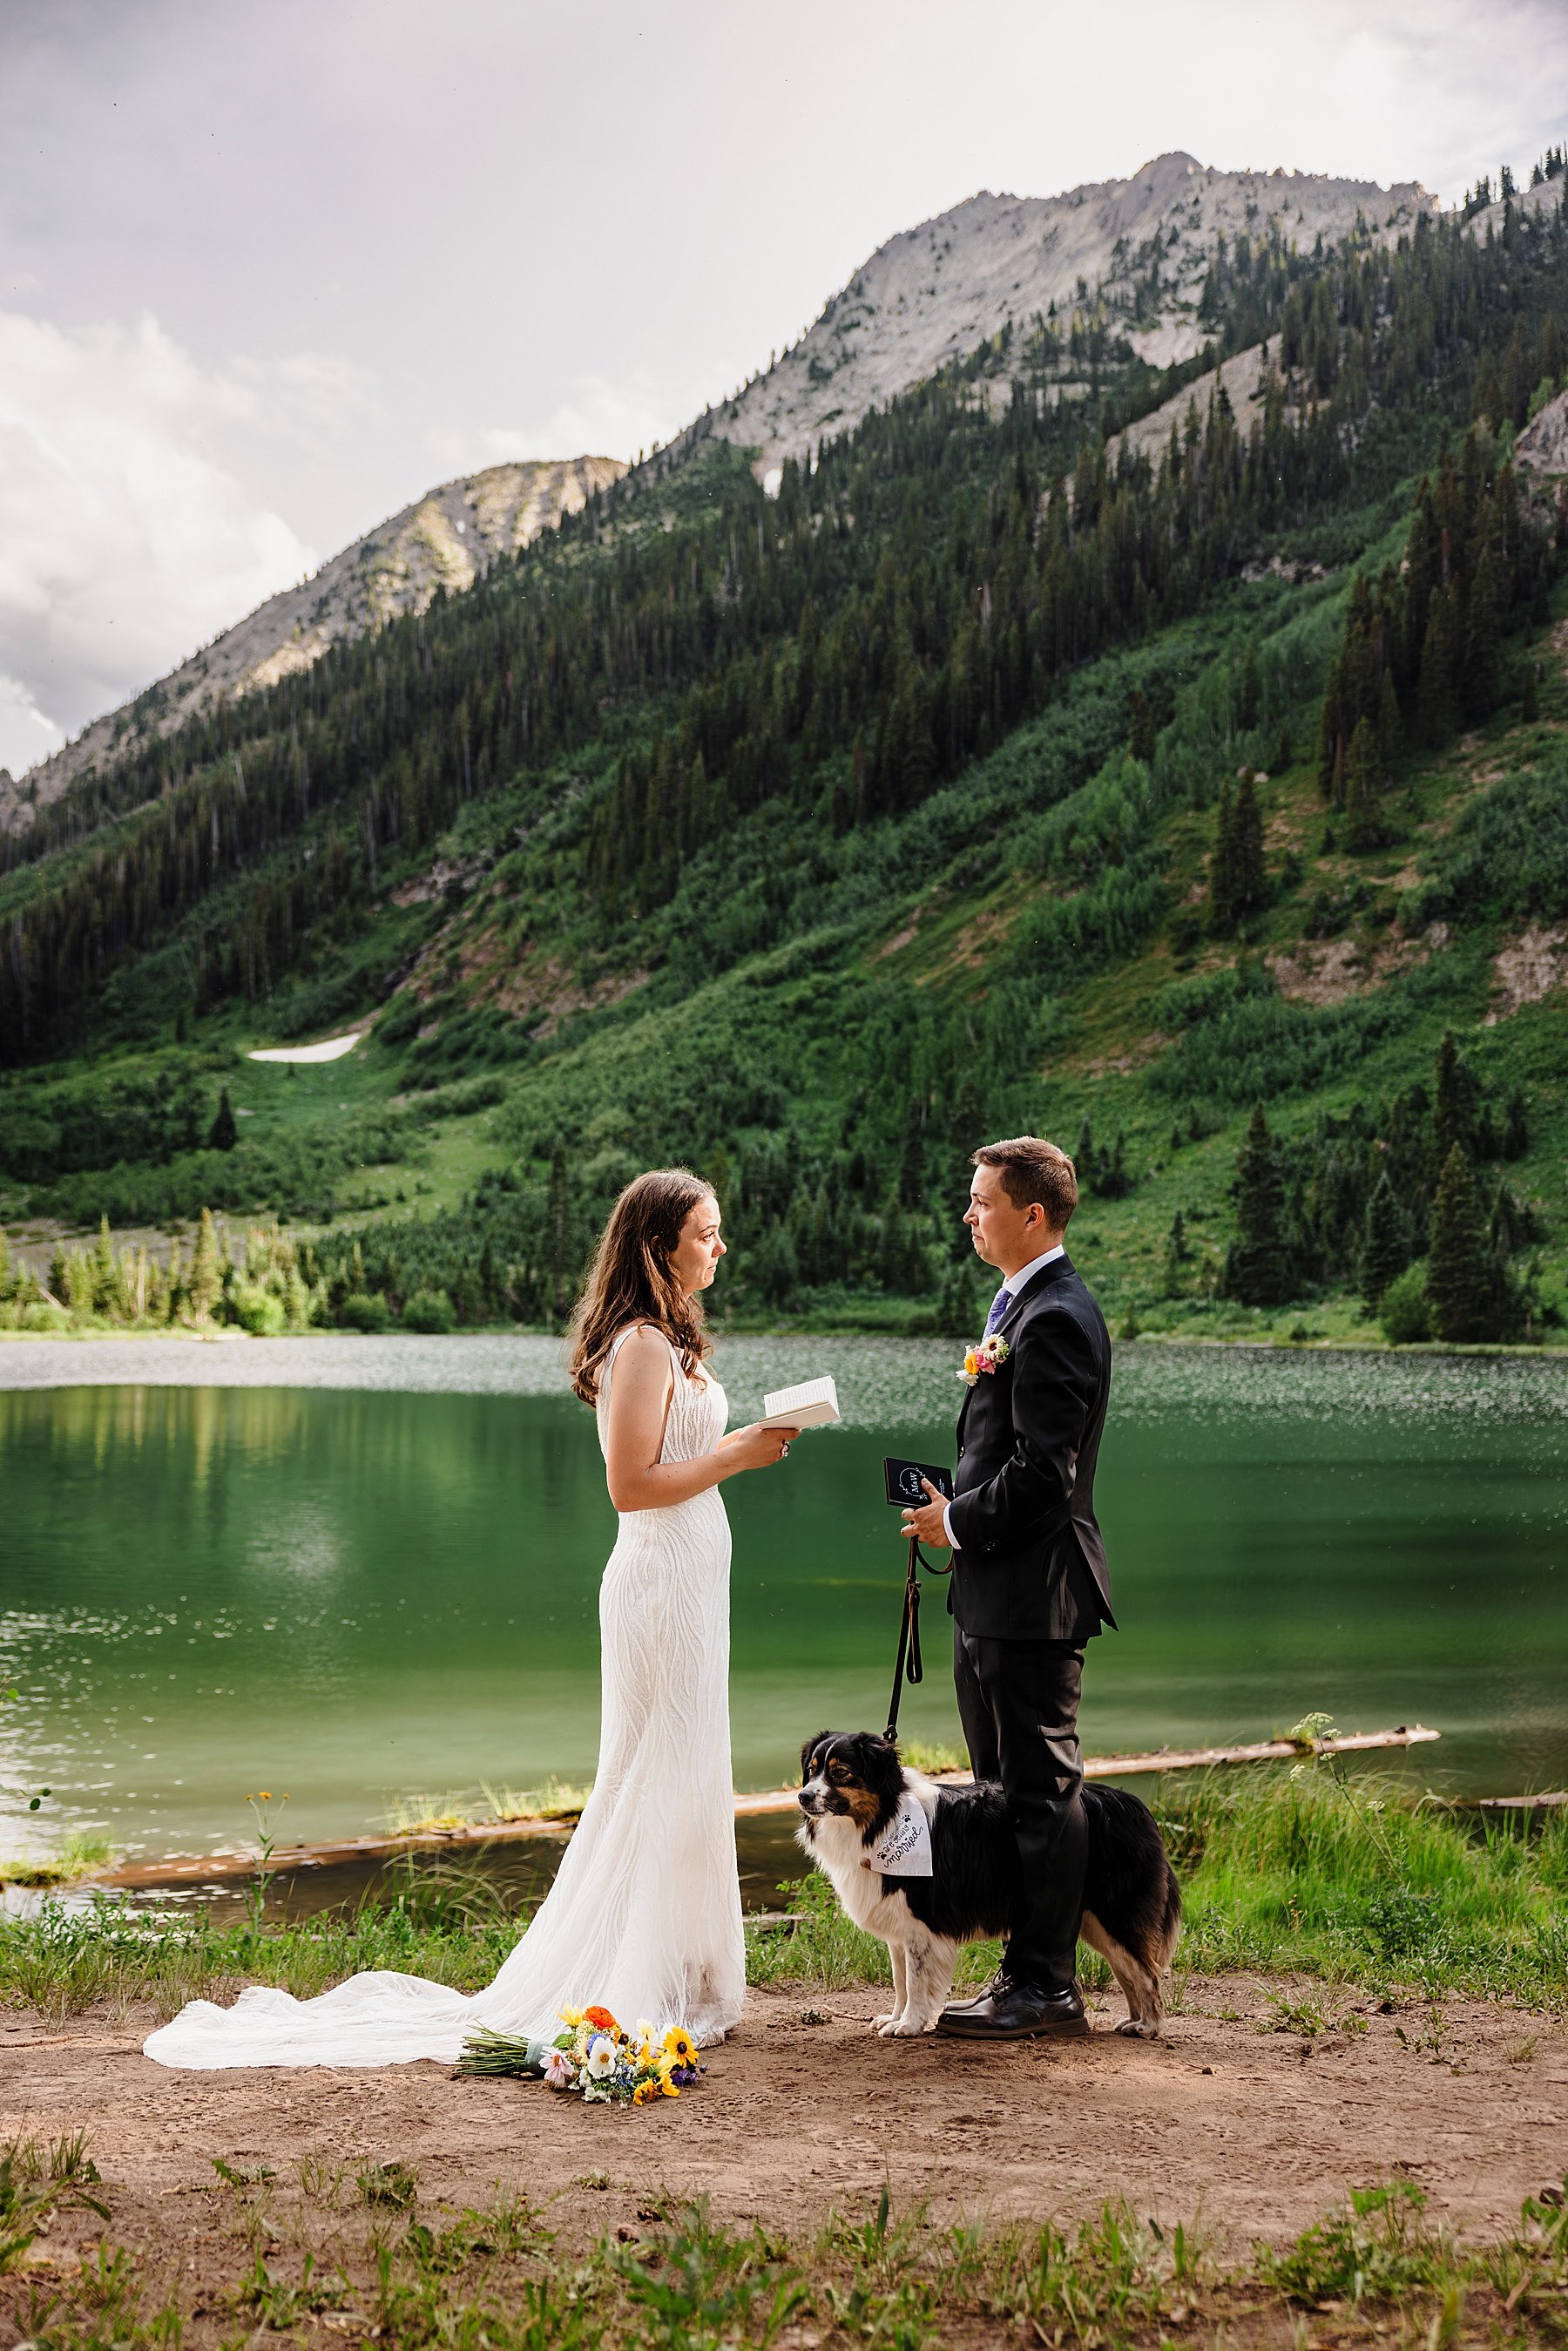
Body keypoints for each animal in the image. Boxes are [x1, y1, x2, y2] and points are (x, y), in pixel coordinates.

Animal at [803, 1730, 1185, 2040]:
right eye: (811, 1769)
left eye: (840, 1772)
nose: (804, 1797)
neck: (885, 1818)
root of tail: (1137, 1807)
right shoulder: (899, 1923)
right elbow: (900, 1981)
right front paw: (895, 2018)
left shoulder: (921, 1924)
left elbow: (915, 1981)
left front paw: (909, 2025)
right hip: (1095, 1919)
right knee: (1131, 1972)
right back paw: (1133, 2021)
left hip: (1116, 1913)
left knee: (1147, 1974)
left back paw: (1148, 2027)